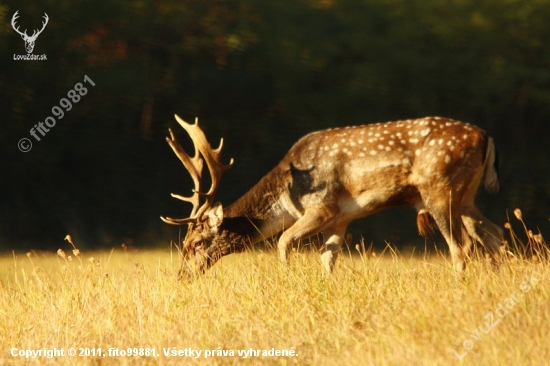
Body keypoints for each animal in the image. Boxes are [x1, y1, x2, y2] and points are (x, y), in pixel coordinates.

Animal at [161, 116, 504, 278]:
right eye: (184, 242)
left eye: (196, 242)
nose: (181, 276)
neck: (287, 194)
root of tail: (486, 137)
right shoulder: (341, 219)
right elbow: (328, 259)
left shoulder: (322, 207)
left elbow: (283, 241)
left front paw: (289, 279)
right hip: (466, 197)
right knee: (493, 232)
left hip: (439, 188)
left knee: (461, 246)